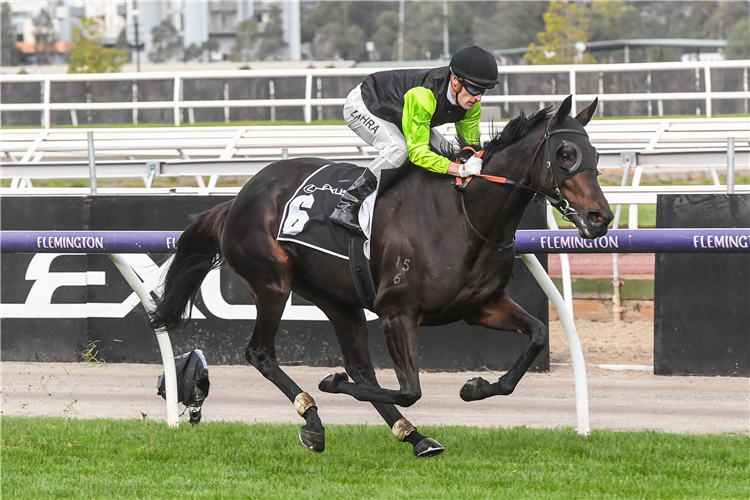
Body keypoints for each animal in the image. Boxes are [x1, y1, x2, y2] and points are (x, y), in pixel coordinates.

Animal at [148, 94, 616, 458]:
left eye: (595, 156)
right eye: (565, 155)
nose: (602, 217)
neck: (465, 215)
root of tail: (239, 198)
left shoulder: (482, 305)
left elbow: (537, 334)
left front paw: (476, 387)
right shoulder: (398, 312)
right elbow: (410, 388)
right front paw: (331, 381)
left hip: (337, 299)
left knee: (361, 367)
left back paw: (414, 436)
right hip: (272, 283)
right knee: (262, 353)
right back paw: (313, 419)